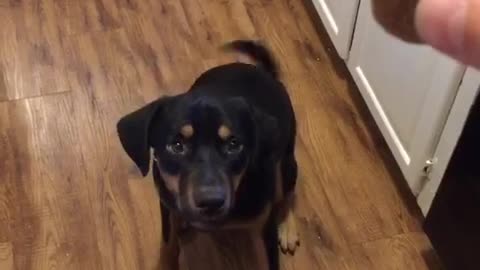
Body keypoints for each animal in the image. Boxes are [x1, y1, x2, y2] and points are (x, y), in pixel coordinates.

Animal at [116, 40, 298, 270]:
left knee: (287, 191)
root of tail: (265, 73)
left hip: (286, 161)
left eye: (233, 144)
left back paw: (288, 227)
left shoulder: (265, 226)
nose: (211, 201)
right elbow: (168, 243)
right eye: (177, 145)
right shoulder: (166, 203)